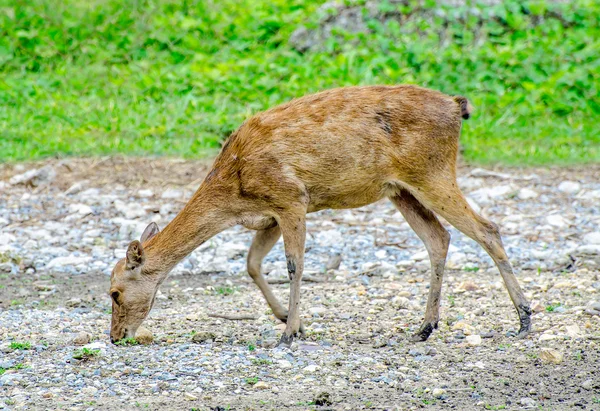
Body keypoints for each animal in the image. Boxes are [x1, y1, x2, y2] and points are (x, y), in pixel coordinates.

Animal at [108, 84, 528, 348]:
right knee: (439, 238)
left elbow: (294, 264)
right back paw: (425, 328)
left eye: (114, 293)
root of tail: (458, 108)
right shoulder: (269, 215)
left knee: (487, 228)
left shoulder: (291, 198)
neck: (233, 192)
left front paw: (290, 333)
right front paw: (287, 319)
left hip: (433, 173)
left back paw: (524, 320)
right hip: (402, 190)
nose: (115, 336)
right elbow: (252, 263)